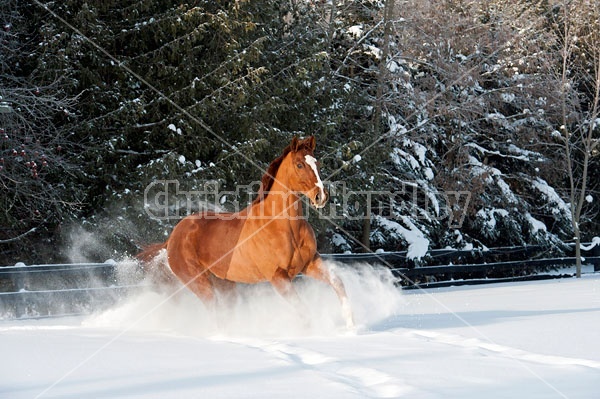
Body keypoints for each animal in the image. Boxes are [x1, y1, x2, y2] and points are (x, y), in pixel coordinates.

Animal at [139, 136, 356, 330]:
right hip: (200, 283)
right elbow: (302, 309)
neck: (284, 226)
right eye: (299, 164)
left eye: (316, 162)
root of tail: (172, 237)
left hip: (224, 283)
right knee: (214, 310)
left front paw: (351, 326)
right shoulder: (278, 277)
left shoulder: (309, 263)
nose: (321, 196)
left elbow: (338, 283)